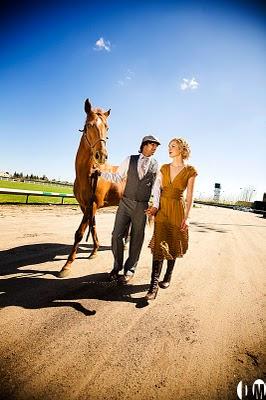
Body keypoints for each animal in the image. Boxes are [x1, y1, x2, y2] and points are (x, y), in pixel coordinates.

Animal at [58, 98, 124, 276]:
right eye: (88, 125)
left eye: (107, 127)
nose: (102, 155)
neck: (88, 173)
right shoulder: (84, 205)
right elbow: (92, 226)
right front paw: (94, 251)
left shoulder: (92, 204)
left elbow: (80, 233)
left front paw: (66, 265)